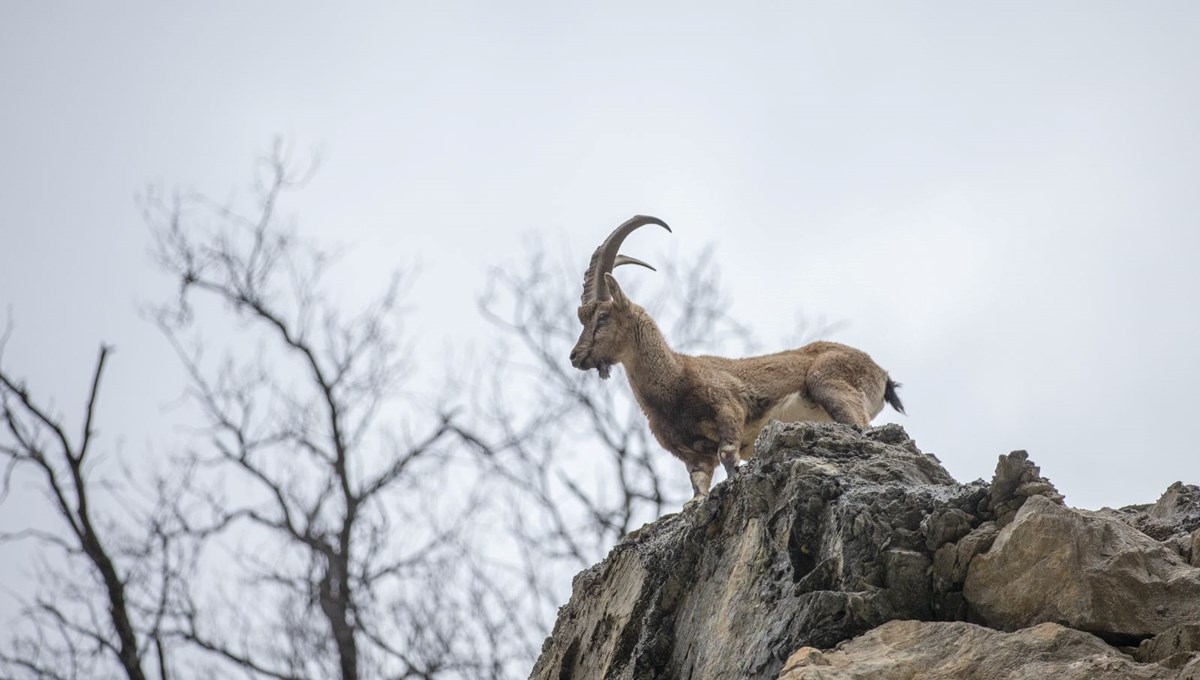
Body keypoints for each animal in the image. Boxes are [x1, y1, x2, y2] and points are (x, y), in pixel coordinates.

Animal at [568, 215, 902, 503]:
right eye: (581, 317)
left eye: (603, 316)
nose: (575, 356)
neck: (675, 379)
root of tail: (882, 374)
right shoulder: (693, 456)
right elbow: (698, 488)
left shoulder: (729, 411)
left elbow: (729, 456)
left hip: (832, 387)